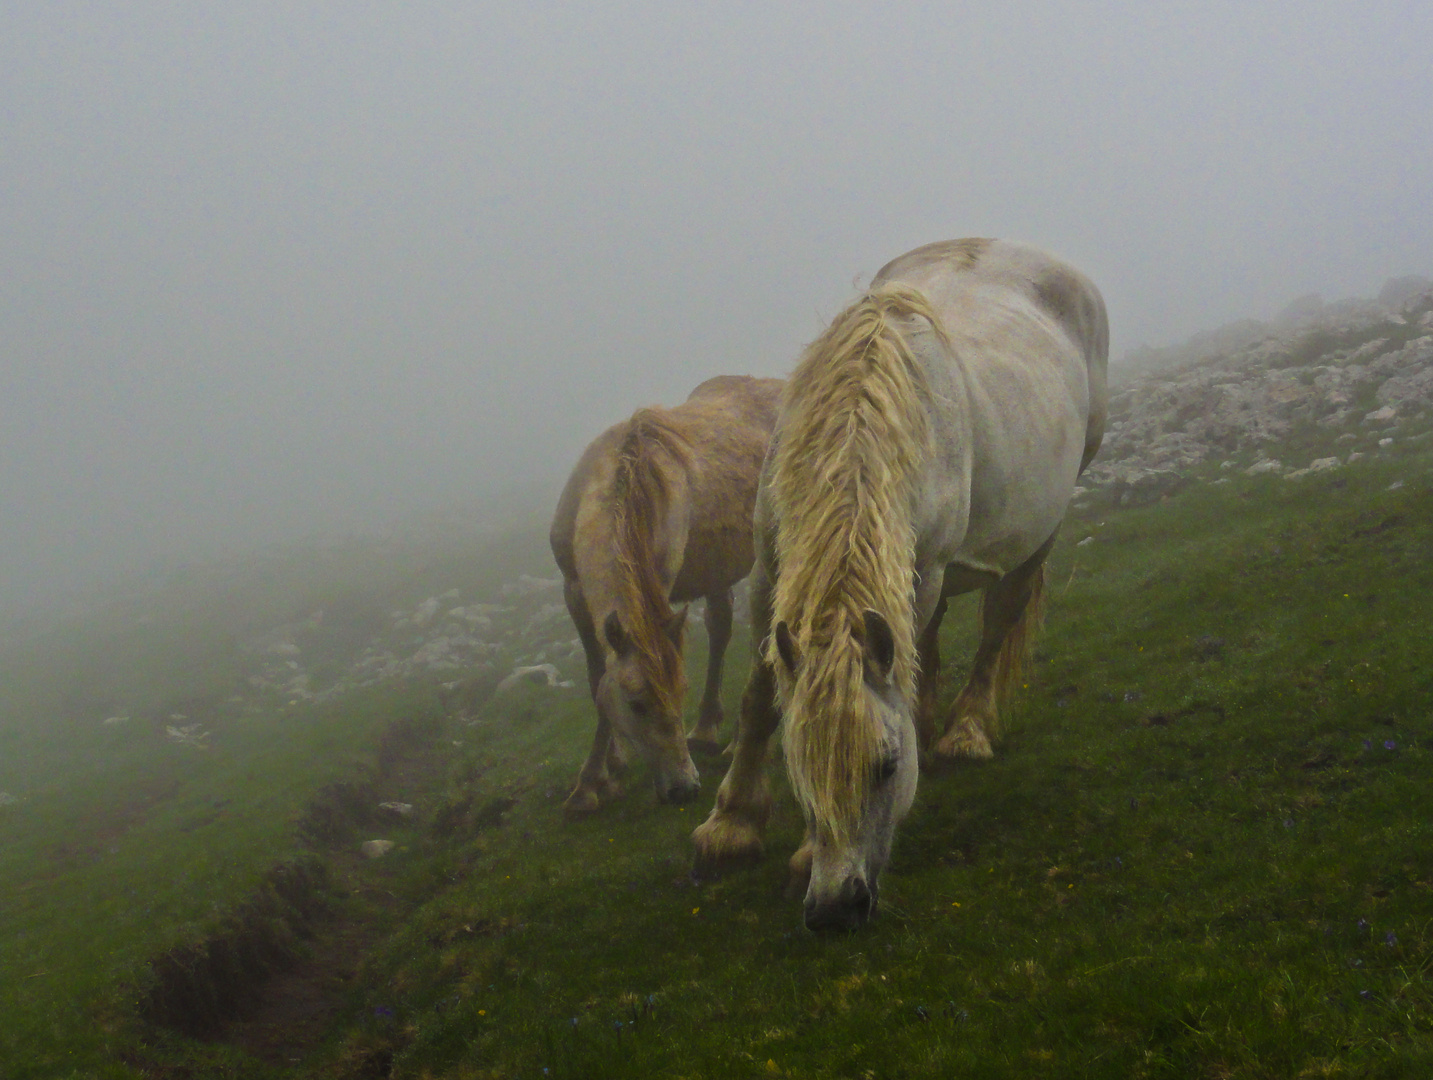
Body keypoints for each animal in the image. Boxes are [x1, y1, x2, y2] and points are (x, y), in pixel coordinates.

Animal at [553, 375, 791, 813]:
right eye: (637, 704)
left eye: (680, 692)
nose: (686, 788)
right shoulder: (573, 592)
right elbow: (597, 679)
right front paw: (605, 769)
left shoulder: (658, 588)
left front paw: (592, 781)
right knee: (720, 626)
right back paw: (707, 728)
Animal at [690, 239, 1106, 928]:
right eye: (798, 768)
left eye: (886, 767)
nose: (836, 909)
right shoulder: (768, 568)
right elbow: (759, 697)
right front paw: (731, 825)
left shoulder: (928, 568)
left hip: (1038, 531)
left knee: (998, 621)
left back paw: (965, 732)